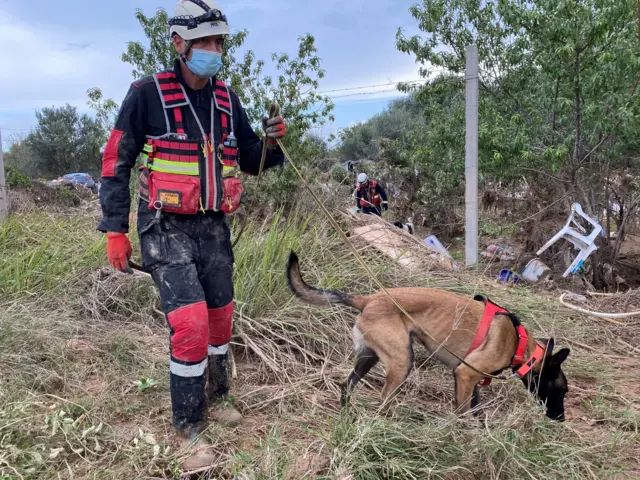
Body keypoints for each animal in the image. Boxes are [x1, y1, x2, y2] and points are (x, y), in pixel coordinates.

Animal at [284, 251, 568, 420]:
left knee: (347, 386)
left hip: (369, 358)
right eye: (562, 389)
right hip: (401, 361)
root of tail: (368, 299)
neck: (520, 345)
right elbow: (463, 413)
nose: (561, 418)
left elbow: (474, 407)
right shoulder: (466, 375)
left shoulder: (466, 379)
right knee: (383, 399)